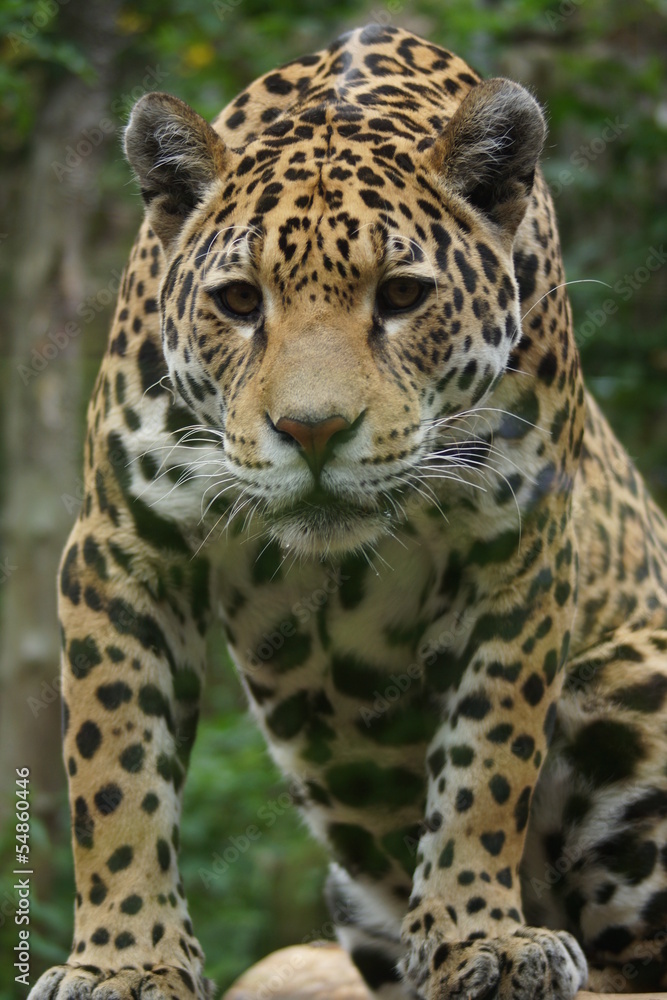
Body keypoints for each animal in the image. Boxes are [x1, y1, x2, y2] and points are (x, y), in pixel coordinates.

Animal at [29, 23, 667, 1000]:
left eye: (401, 295)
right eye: (239, 301)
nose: (312, 430)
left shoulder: (518, 554)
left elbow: (488, 764)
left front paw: (482, 939)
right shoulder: (125, 547)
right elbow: (113, 773)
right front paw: (124, 961)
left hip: (629, 681)